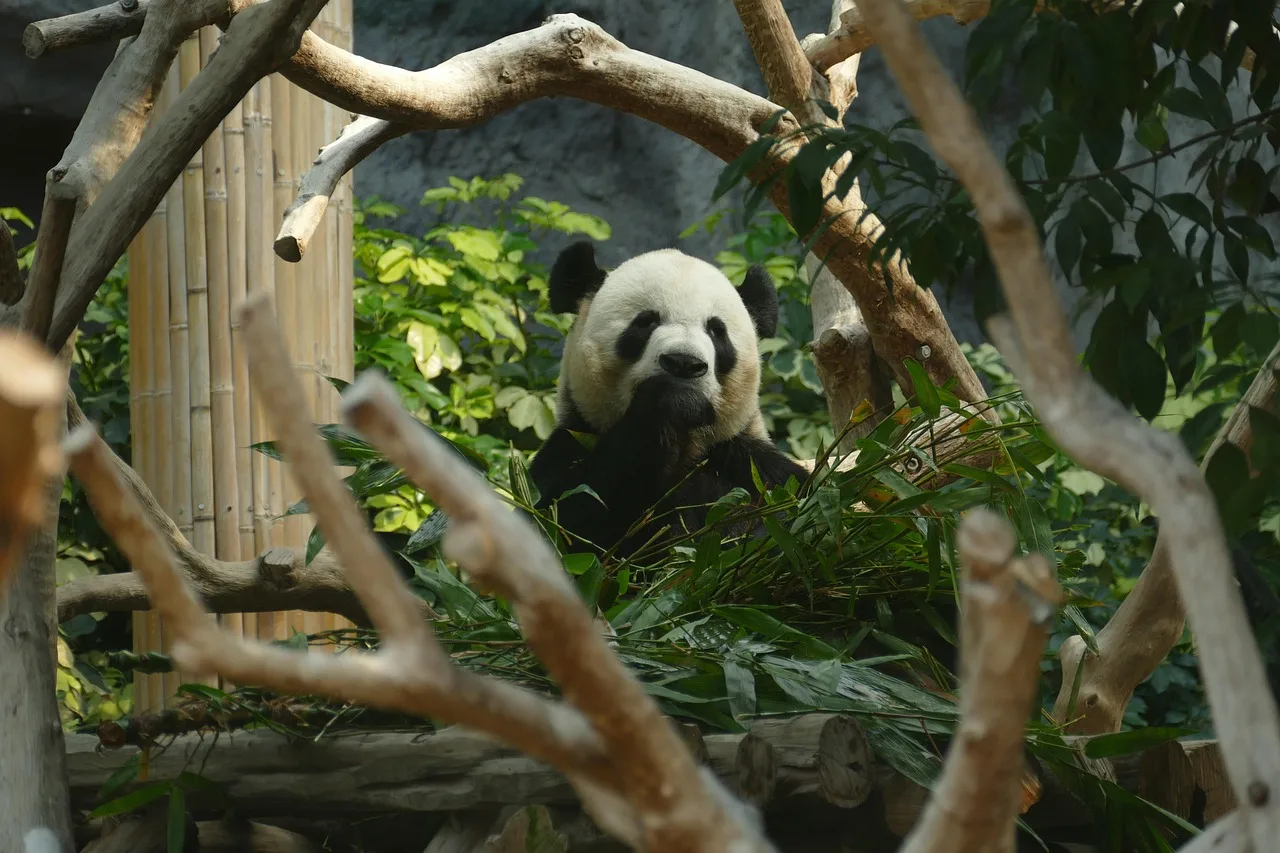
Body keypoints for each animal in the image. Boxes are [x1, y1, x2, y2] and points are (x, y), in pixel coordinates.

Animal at [528, 241, 808, 558]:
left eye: (717, 330)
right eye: (646, 322)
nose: (684, 363)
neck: (688, 445)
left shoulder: (749, 463)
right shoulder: (572, 442)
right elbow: (568, 525)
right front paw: (673, 400)